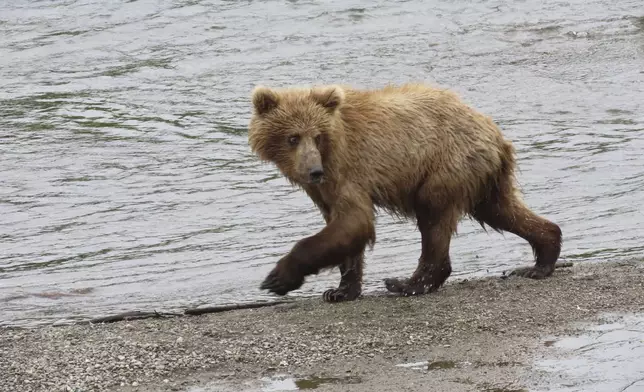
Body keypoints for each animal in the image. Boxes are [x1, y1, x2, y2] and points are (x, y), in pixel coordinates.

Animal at [249, 82, 560, 304]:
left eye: (317, 135)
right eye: (292, 137)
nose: (314, 170)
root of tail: (496, 132)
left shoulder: (347, 169)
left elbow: (354, 221)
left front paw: (278, 277)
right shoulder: (325, 187)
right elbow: (342, 228)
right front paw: (340, 291)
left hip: (445, 165)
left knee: (434, 218)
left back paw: (407, 284)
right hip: (483, 177)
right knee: (502, 210)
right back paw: (541, 259)